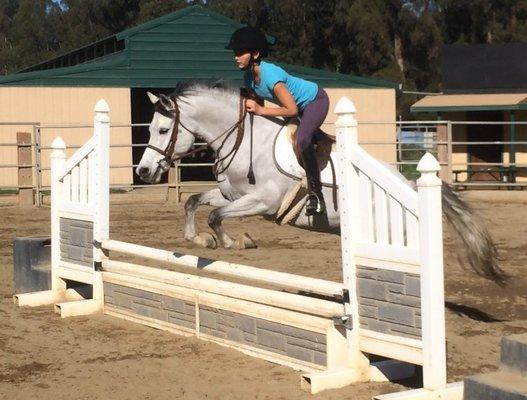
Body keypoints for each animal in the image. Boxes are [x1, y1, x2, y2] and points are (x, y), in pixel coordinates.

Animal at [136, 79, 508, 282]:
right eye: (150, 128)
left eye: (164, 130)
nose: (143, 172)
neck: (244, 139)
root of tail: (412, 187)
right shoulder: (232, 196)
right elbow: (194, 202)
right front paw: (198, 239)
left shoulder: (264, 201)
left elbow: (215, 216)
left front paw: (234, 242)